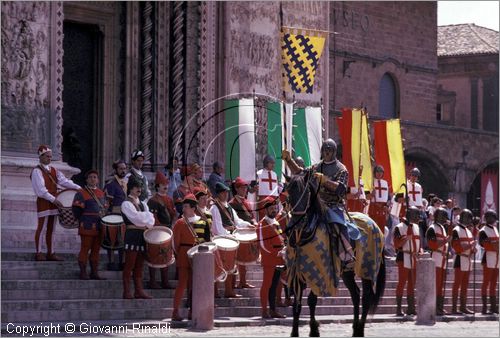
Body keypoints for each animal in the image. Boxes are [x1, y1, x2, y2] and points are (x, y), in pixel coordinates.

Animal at [284, 170, 384, 336]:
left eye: (306, 194)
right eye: (290, 193)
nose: (297, 222)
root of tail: (374, 223)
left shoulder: (321, 273)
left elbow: (311, 300)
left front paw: (314, 330)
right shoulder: (296, 273)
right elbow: (297, 305)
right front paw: (295, 332)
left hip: (367, 268)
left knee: (366, 297)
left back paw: (359, 329)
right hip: (347, 272)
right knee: (355, 294)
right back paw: (355, 327)